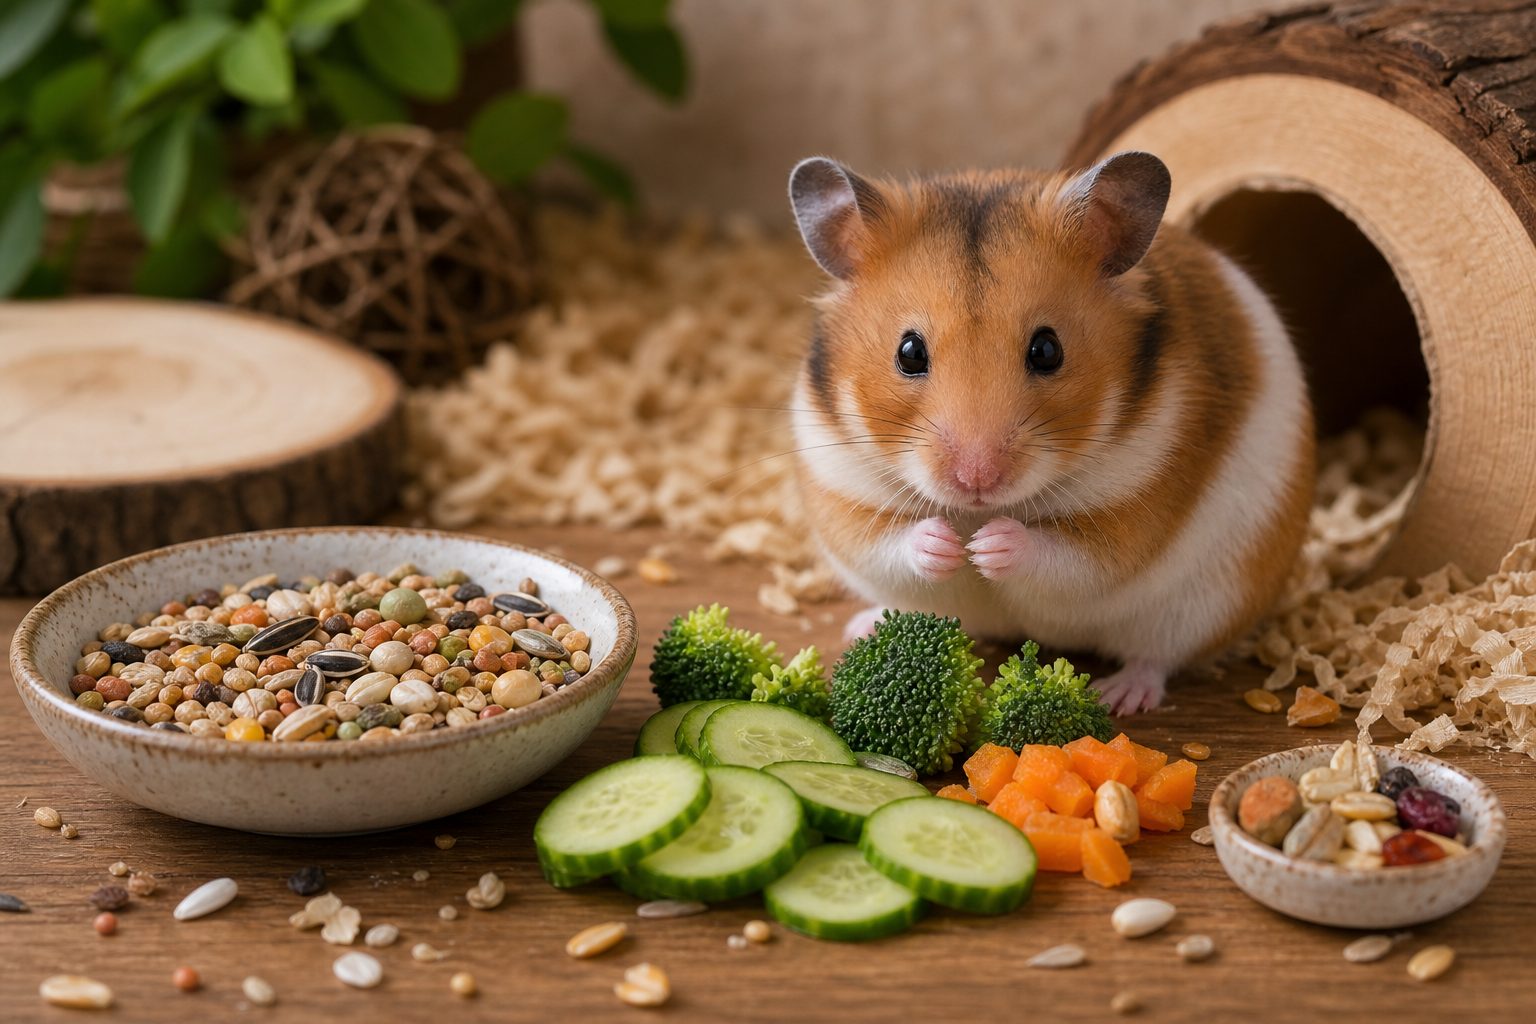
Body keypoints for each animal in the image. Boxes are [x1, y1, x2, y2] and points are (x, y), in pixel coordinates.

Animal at [785, 152, 1314, 714]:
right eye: (908, 352)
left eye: (1047, 350)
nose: (977, 481)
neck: (980, 509)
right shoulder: (842, 493)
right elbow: (891, 542)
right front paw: (949, 546)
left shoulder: (1131, 510)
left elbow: (1065, 555)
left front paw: (988, 547)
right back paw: (862, 627)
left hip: (1201, 606)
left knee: (1155, 658)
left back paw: (1120, 696)